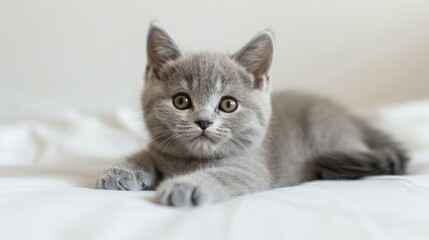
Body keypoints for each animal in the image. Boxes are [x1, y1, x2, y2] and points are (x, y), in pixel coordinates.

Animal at [94, 22, 408, 206]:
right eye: (181, 101)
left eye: (228, 105)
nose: (204, 121)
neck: (191, 160)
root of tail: (353, 117)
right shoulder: (161, 147)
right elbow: (144, 154)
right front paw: (118, 172)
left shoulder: (251, 166)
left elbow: (225, 175)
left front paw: (185, 186)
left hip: (330, 137)